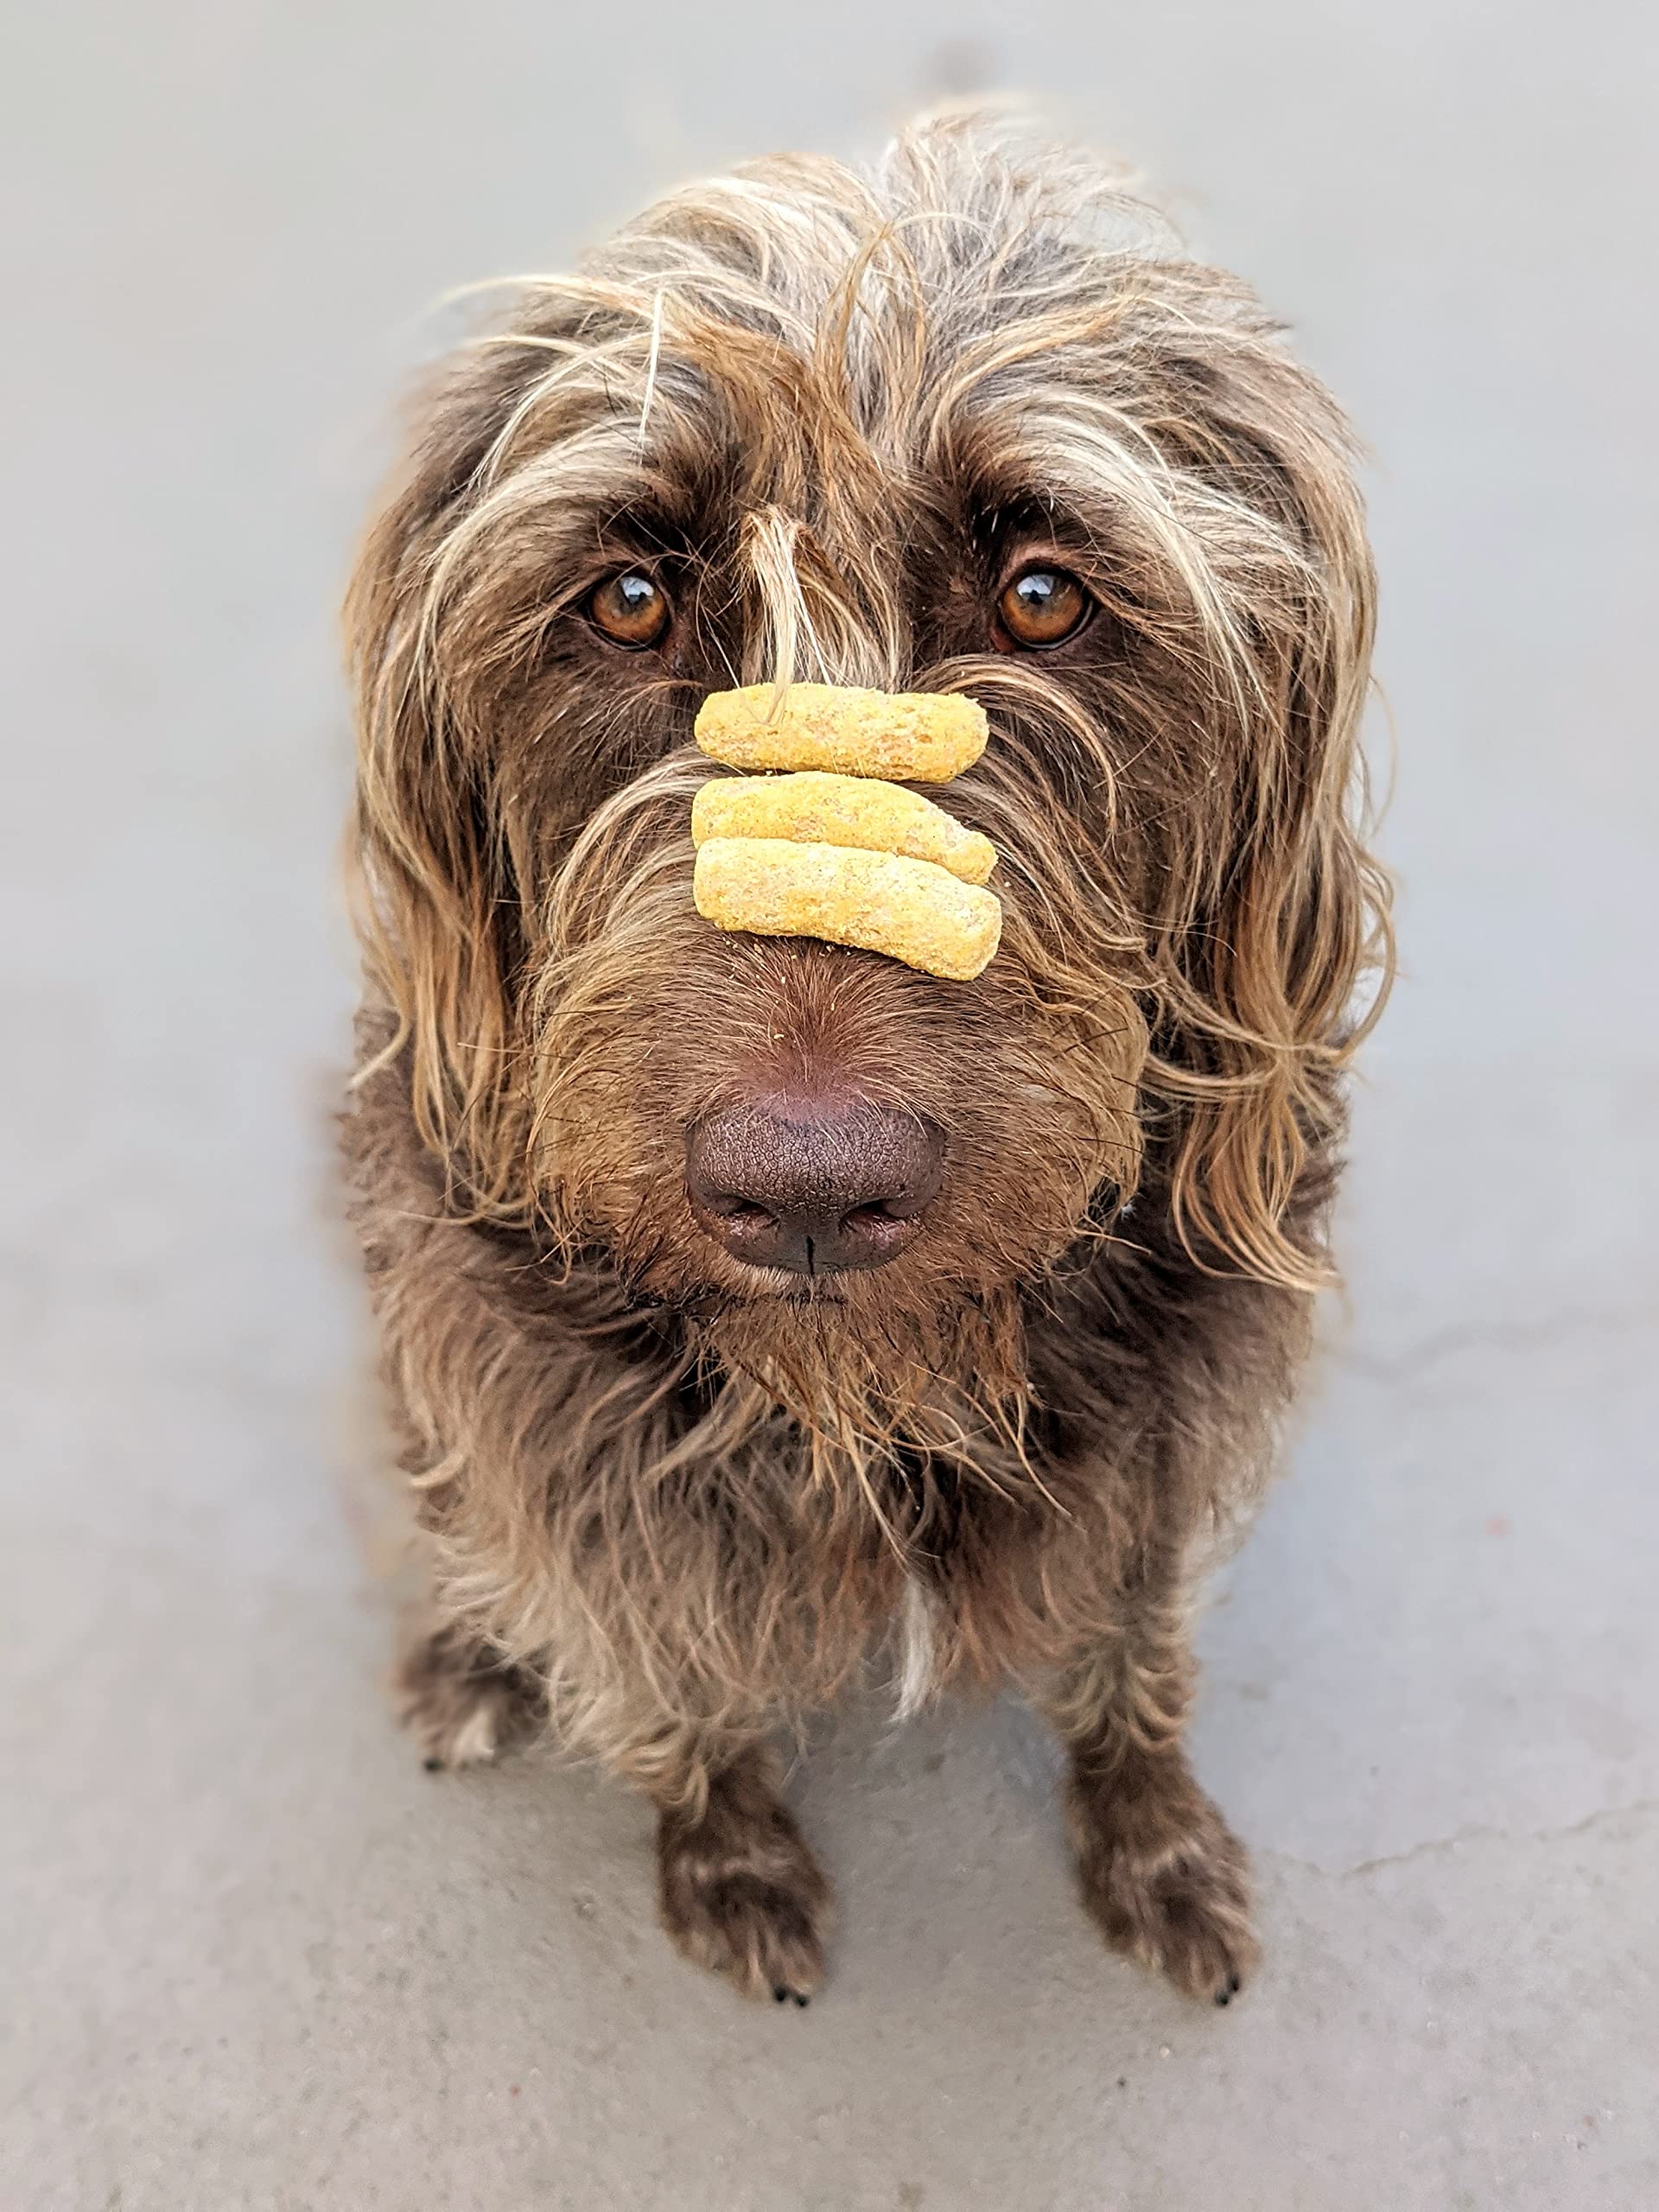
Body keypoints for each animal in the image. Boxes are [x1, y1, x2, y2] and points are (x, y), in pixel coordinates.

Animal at [345, 107, 1397, 2008]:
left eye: (1046, 595)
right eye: (629, 598)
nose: (811, 1192)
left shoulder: (1176, 1432)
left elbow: (1134, 1642)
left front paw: (1154, 1832)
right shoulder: (562, 1444)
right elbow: (661, 1677)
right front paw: (723, 1846)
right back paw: (469, 1655)